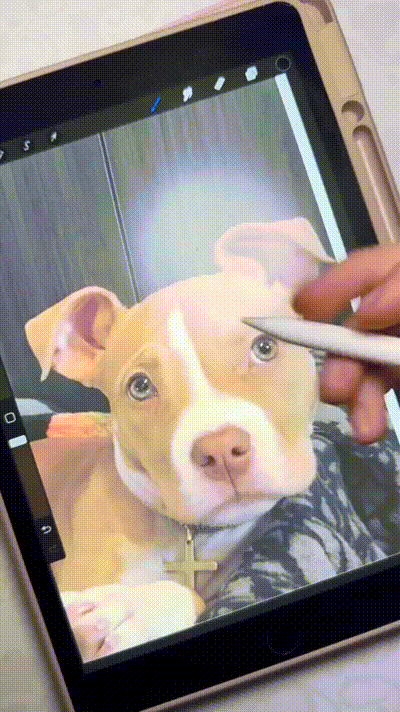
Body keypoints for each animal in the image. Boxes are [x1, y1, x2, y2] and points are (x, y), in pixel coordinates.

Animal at [26, 218, 332, 661]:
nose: (221, 451)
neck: (188, 539)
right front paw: (118, 611)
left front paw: (125, 612)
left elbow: (196, 597)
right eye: (140, 387)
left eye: (264, 347)